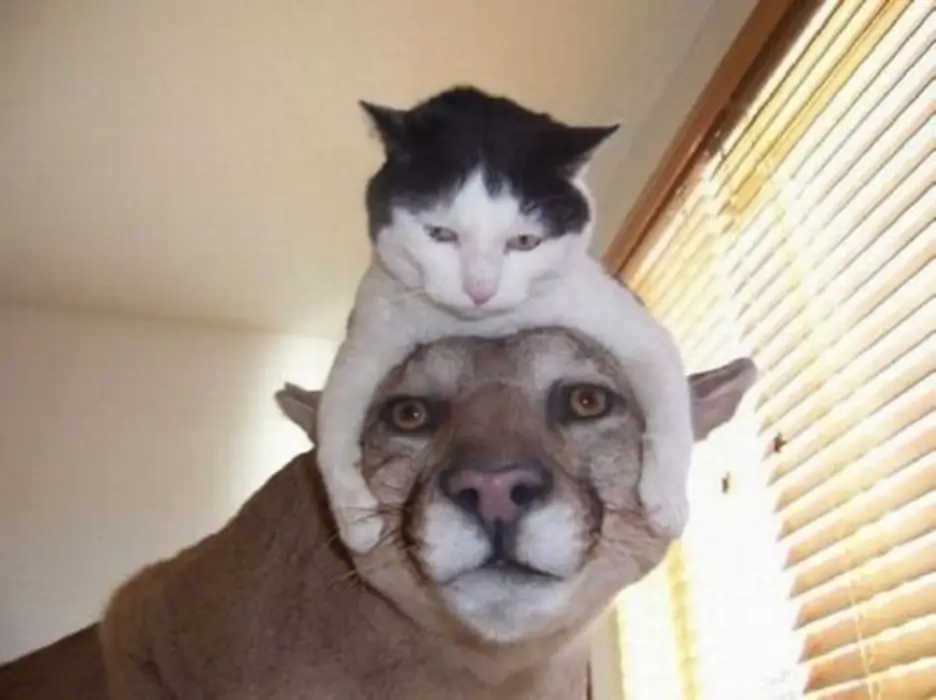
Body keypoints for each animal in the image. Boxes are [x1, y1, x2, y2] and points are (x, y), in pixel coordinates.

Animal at [318, 86, 692, 552]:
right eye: (440, 234)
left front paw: (667, 503)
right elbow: (330, 430)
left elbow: (672, 404)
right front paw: (357, 523)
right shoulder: (366, 341)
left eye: (526, 241)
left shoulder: (633, 327)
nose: (481, 289)